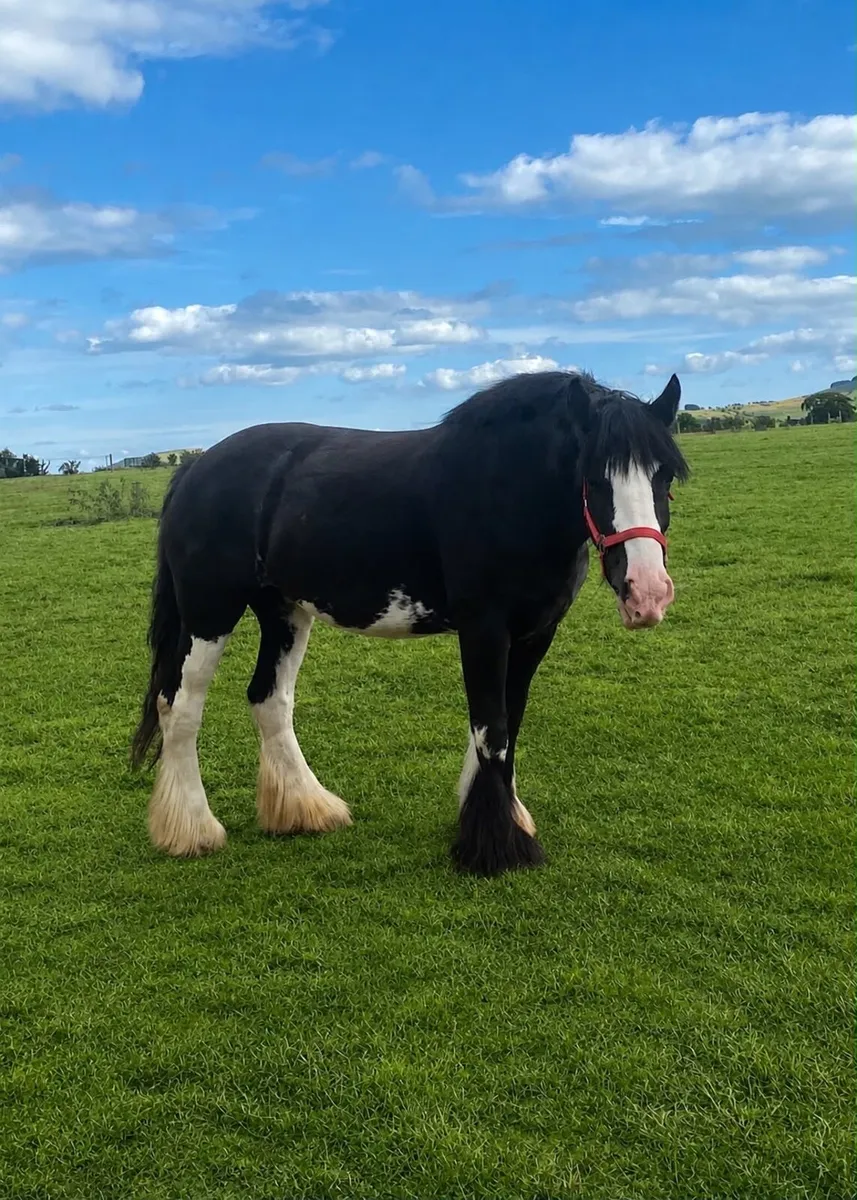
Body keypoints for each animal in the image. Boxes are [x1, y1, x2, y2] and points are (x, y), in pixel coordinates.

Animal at [130, 369, 688, 876]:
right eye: (593, 477)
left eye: (664, 477)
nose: (647, 593)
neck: (506, 488)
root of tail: (195, 468)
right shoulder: (484, 629)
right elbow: (492, 729)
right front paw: (496, 848)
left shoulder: (534, 634)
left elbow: (509, 722)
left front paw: (498, 821)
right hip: (210, 613)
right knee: (179, 706)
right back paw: (193, 831)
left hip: (285, 612)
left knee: (269, 700)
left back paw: (306, 809)